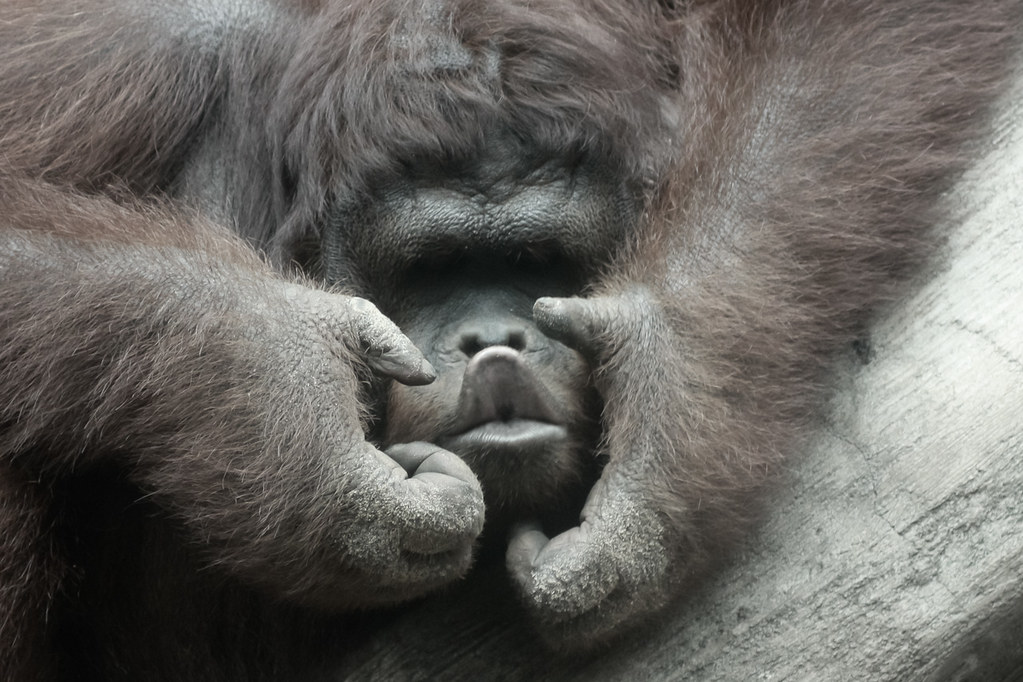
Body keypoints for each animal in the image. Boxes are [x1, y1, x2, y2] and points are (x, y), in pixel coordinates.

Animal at [0, 0, 1019, 679]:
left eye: (536, 259)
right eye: (431, 269)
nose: (494, 334)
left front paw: (672, 416)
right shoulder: (93, 62)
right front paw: (273, 401)